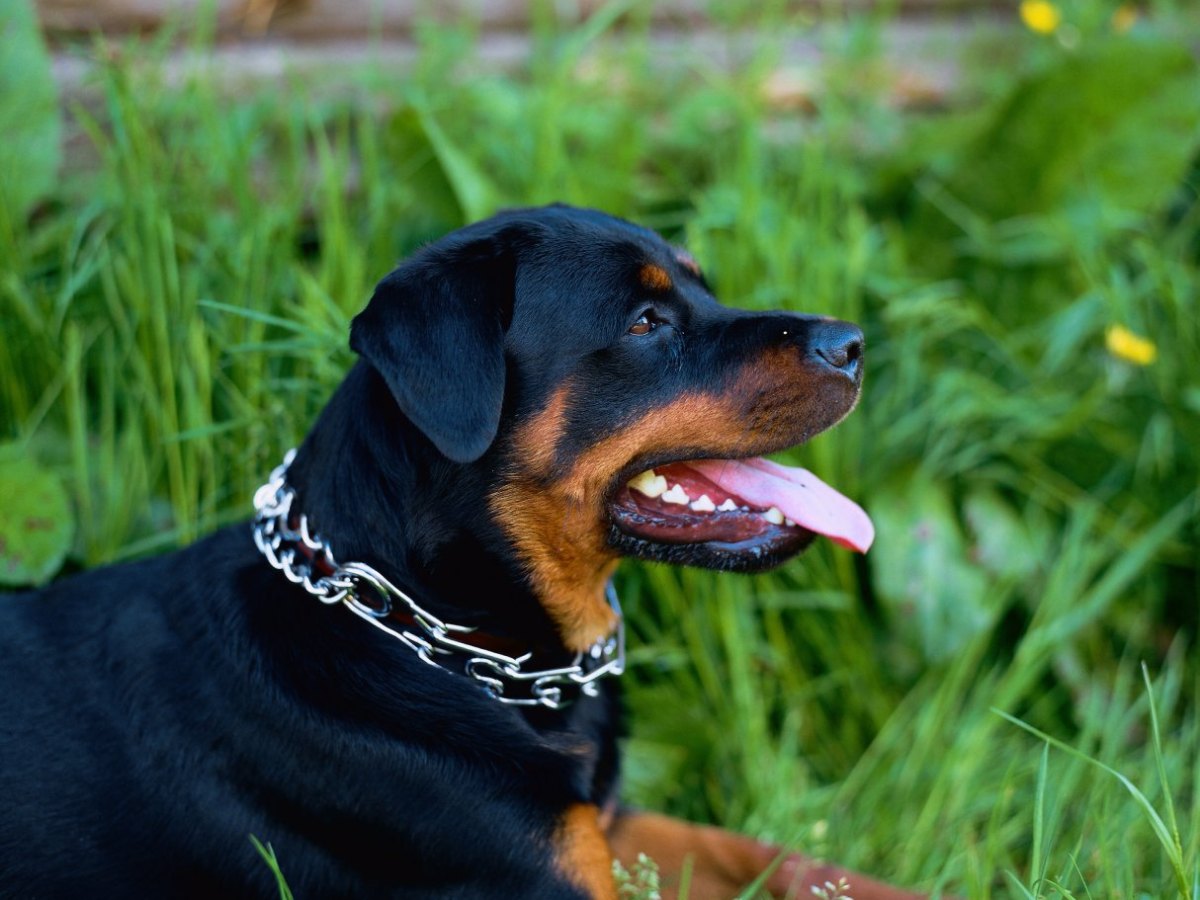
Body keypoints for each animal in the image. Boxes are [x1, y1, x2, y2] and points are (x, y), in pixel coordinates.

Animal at [0, 207, 916, 897]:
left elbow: (779, 856)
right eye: (645, 322)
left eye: (703, 289)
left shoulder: (609, 826)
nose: (852, 342)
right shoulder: (545, 873)